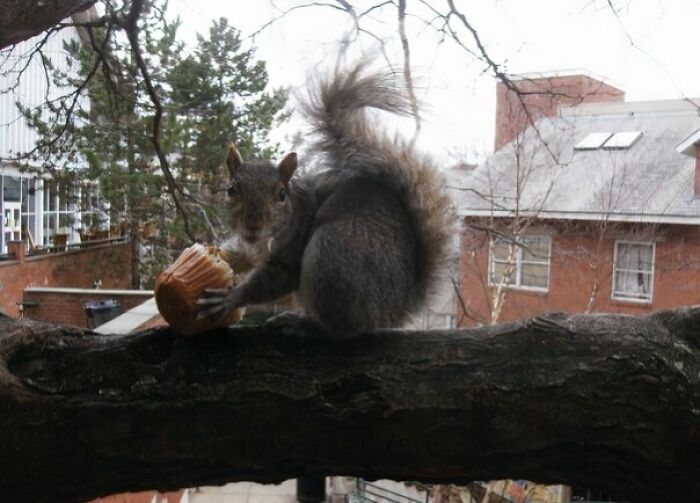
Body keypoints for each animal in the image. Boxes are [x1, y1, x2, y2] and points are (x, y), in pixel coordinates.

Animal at [197, 63, 453, 336]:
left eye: (281, 194)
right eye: (231, 189)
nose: (253, 224)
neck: (260, 242)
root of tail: (393, 312)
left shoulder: (291, 252)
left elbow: (279, 277)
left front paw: (230, 298)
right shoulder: (246, 247)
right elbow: (235, 255)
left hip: (332, 252)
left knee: (340, 327)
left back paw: (305, 323)